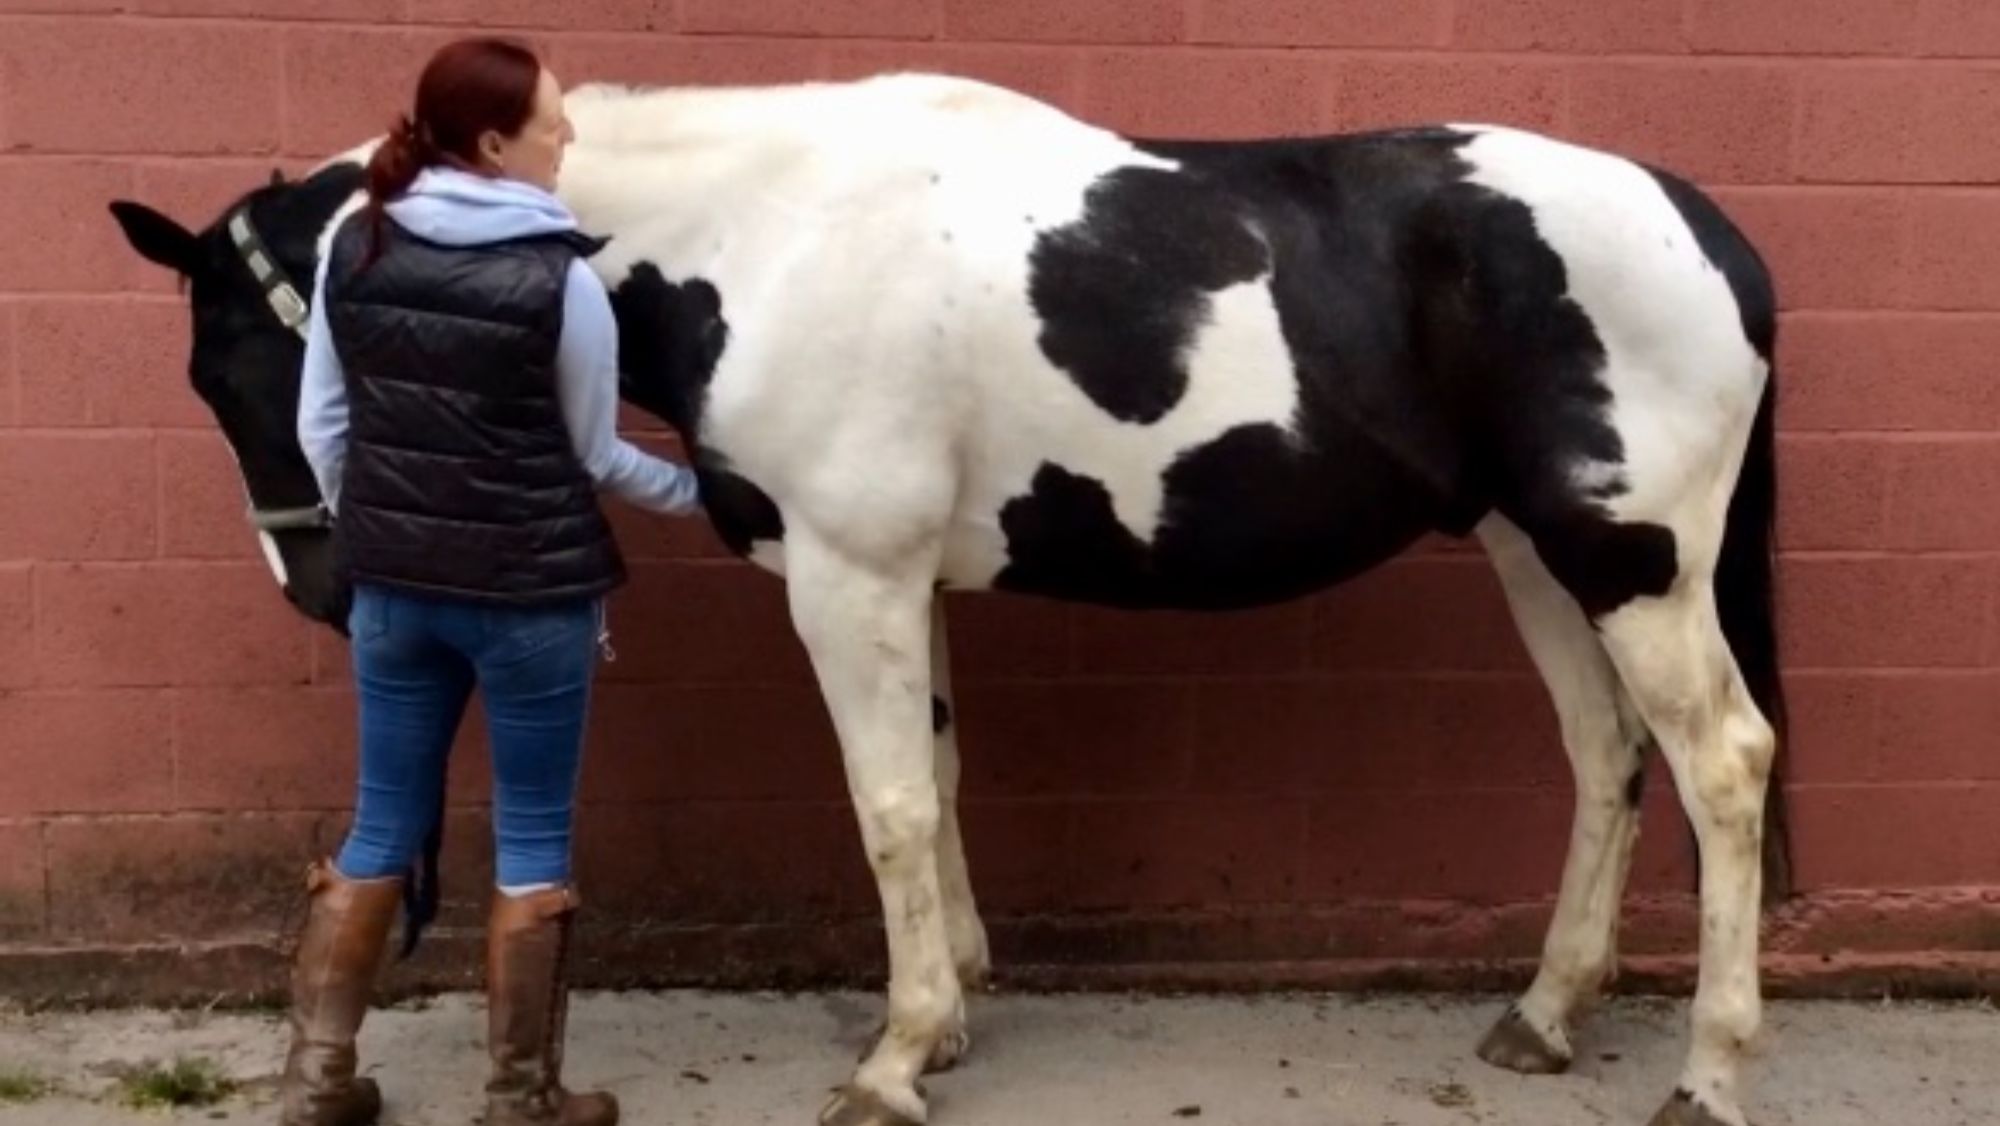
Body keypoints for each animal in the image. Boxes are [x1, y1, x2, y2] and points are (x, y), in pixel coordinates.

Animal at [109, 72, 1789, 1126]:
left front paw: (894, 1059)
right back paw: (1547, 1015)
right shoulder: (900, 581)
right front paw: (953, 1007)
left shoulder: (848, 577)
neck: (766, 238)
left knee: (1722, 764)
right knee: (1608, 759)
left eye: (236, 358)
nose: (322, 584)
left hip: (1632, 560)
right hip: (1535, 551)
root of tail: (1709, 229)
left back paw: (1708, 1071)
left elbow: (891, 806)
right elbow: (942, 775)